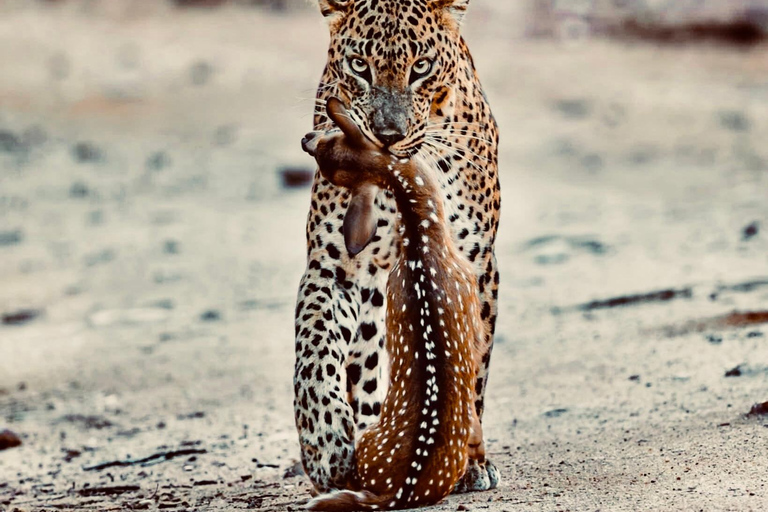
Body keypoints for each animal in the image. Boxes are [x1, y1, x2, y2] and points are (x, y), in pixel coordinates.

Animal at [293, 0, 501, 496]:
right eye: (359, 65)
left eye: (420, 67)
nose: (386, 135)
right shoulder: (336, 267)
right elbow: (313, 350)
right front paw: (325, 443)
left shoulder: (475, 264)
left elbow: (472, 363)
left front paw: (467, 461)